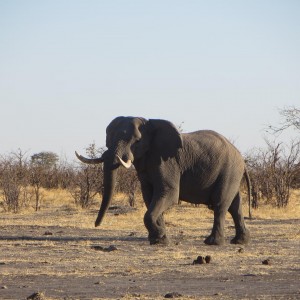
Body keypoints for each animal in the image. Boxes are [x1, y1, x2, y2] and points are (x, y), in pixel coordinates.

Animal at [75, 116, 251, 245]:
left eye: (137, 141)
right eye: (108, 139)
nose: (96, 225)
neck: (149, 125)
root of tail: (241, 158)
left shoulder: (166, 161)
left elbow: (168, 194)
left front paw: (159, 237)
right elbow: (149, 197)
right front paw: (159, 240)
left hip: (229, 170)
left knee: (220, 204)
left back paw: (213, 242)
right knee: (234, 206)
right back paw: (239, 241)